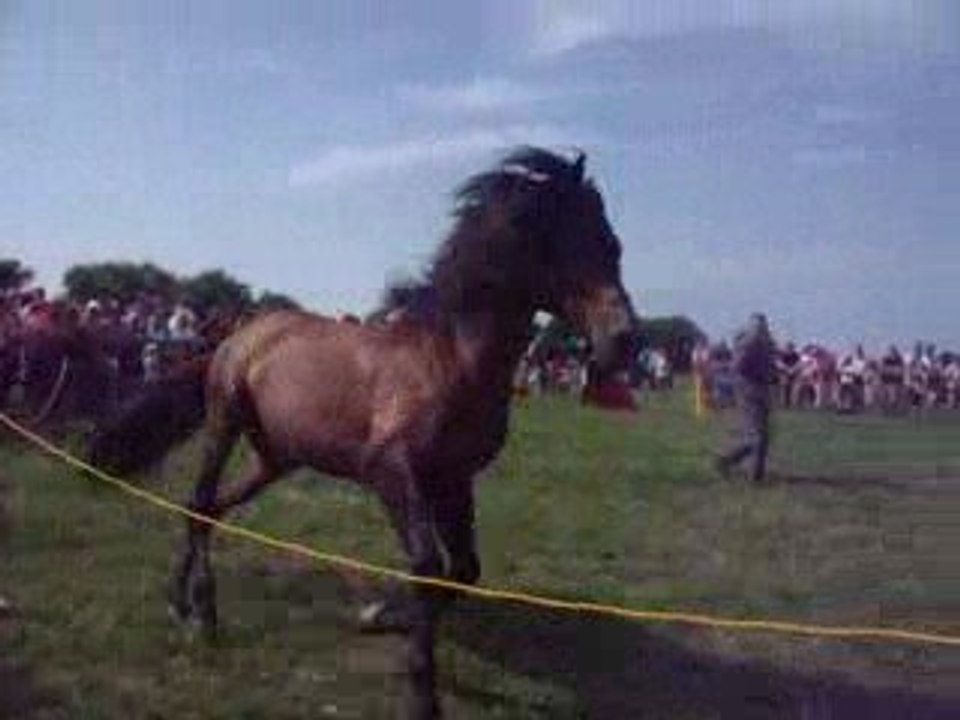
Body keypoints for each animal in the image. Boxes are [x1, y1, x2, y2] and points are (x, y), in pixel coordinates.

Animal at [90, 147, 637, 719]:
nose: (625, 342)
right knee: (198, 502)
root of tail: (241, 335)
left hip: (275, 459)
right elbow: (427, 564)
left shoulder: (453, 480)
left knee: (211, 509)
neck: (447, 362)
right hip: (225, 423)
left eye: (612, 244)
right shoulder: (391, 471)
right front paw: (421, 688)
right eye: (561, 244)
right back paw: (197, 610)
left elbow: (461, 570)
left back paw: (188, 600)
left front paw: (382, 618)